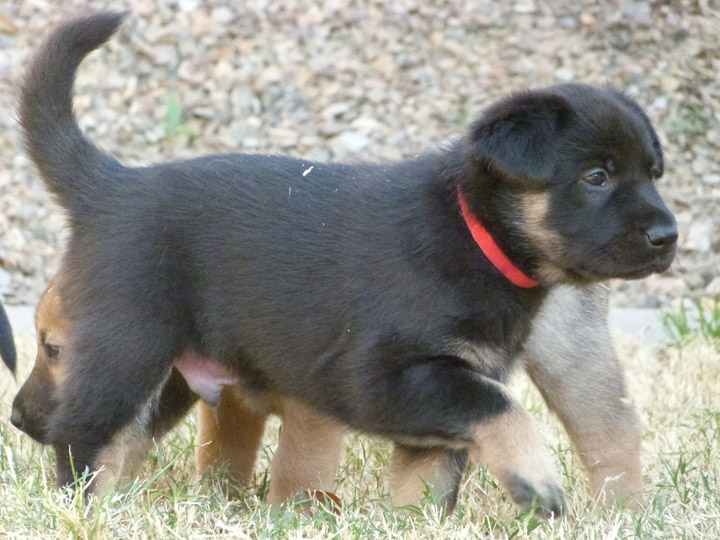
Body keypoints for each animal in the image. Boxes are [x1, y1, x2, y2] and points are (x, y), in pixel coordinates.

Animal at [21, 13, 676, 520]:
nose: (669, 236)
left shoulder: (441, 394)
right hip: (130, 347)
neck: (471, 232)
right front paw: (536, 481)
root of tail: (110, 184)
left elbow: (428, 485)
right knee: (84, 432)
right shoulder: (377, 378)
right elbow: (501, 406)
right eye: (596, 176)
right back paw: (87, 509)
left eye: (653, 173)